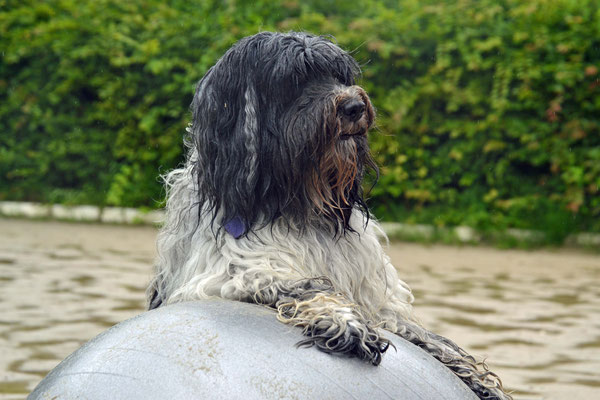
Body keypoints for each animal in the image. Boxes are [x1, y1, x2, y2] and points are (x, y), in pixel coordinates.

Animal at [146, 31, 510, 400]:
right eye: (296, 80)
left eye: (340, 76)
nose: (355, 107)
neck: (299, 206)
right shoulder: (219, 278)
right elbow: (297, 285)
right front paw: (345, 321)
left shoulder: (378, 298)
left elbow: (421, 334)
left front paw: (474, 376)